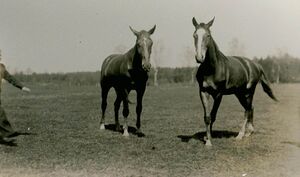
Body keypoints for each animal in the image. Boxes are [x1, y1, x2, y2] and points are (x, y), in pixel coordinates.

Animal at [191, 17, 278, 146]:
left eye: (208, 35)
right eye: (195, 35)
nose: (199, 57)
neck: (212, 68)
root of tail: (256, 65)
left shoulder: (218, 94)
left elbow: (213, 115)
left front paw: (209, 140)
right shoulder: (203, 91)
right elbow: (207, 117)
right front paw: (207, 139)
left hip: (248, 92)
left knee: (247, 110)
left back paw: (240, 135)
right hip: (239, 93)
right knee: (251, 108)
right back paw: (249, 132)